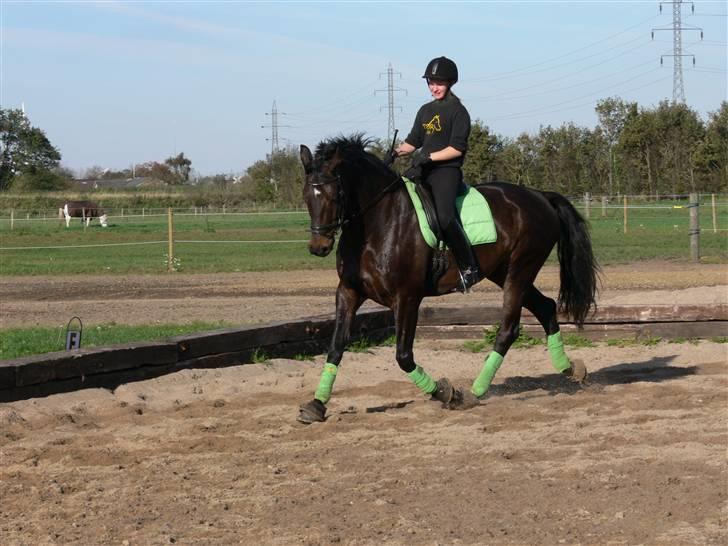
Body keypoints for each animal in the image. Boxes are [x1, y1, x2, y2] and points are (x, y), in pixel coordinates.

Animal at [296, 134, 596, 422]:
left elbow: (403, 356)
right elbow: (336, 347)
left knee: (509, 330)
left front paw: (447, 393)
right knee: (545, 307)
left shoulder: (406, 298)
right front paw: (316, 405)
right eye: (307, 195)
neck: (377, 224)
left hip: (520, 270)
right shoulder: (348, 292)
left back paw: (475, 391)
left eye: (335, 195)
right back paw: (571, 369)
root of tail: (540, 196)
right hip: (503, 272)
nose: (318, 247)